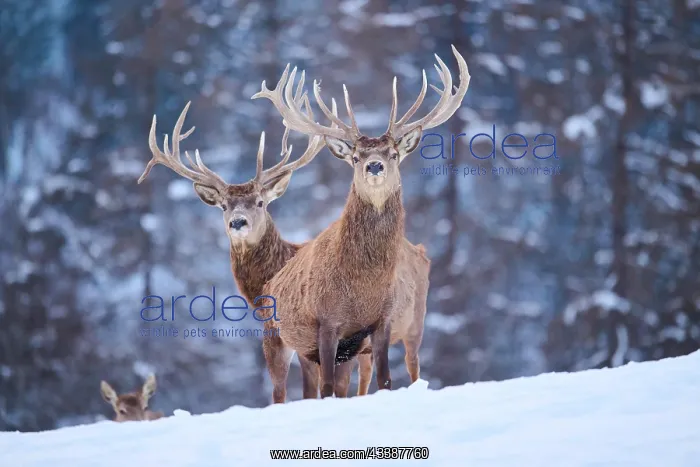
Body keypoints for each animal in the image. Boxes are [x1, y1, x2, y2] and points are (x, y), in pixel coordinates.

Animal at [251, 45, 470, 401]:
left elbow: (385, 380)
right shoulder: (326, 322)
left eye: (394, 153)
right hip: (277, 336)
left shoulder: (382, 322)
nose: (375, 166)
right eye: (355, 157)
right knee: (281, 391)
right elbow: (328, 387)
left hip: (411, 324)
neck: (362, 284)